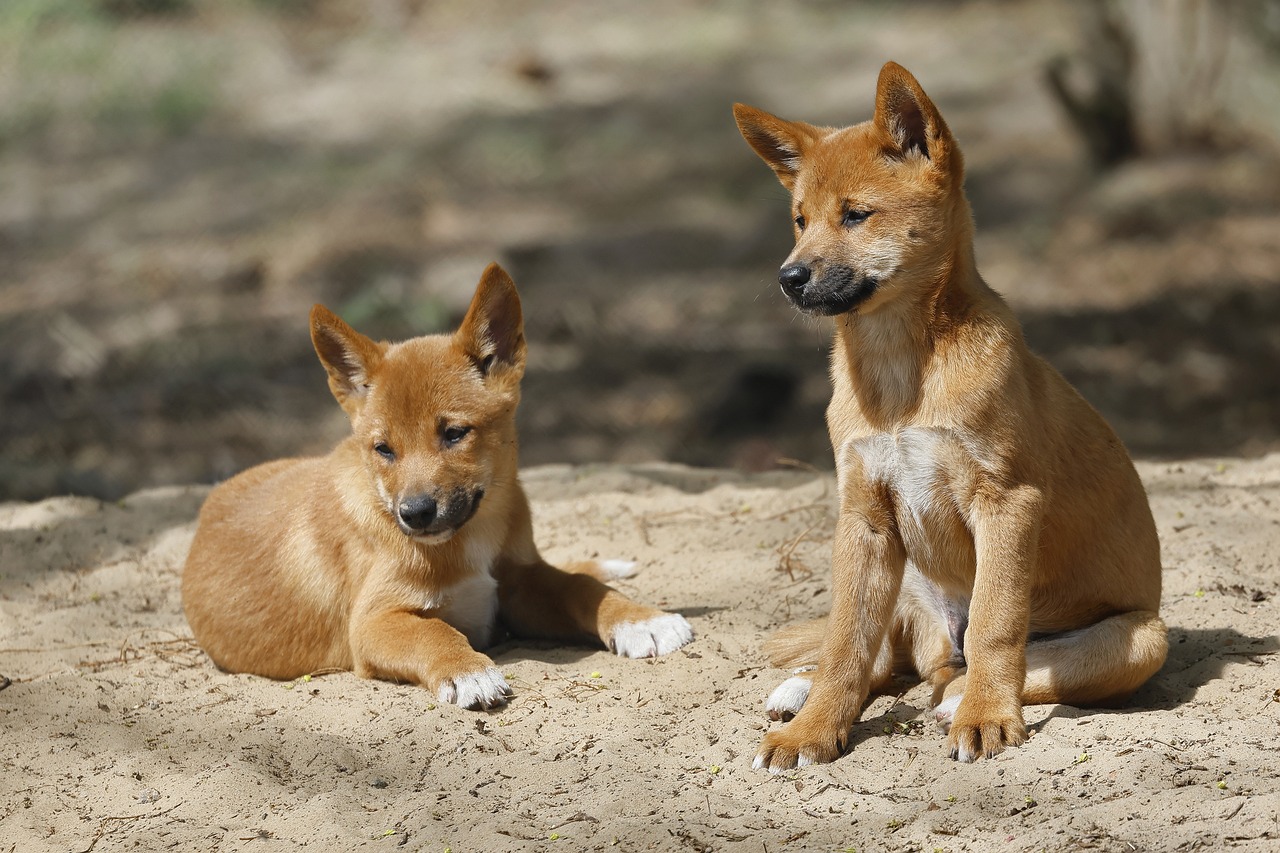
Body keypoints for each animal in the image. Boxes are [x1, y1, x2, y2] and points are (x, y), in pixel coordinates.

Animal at [183, 261, 691, 701]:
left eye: (454, 434)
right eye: (384, 449)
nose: (415, 514)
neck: (470, 539)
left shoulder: (519, 583)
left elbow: (578, 587)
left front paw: (641, 619)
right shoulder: (373, 622)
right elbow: (432, 631)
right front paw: (467, 671)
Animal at [737, 59, 1167, 763]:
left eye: (856, 216)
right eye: (800, 220)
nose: (788, 278)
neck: (900, 378)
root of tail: (941, 644)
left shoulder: (1009, 502)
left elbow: (996, 626)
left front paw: (989, 716)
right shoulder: (864, 515)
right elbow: (845, 645)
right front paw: (814, 730)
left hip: (1141, 638)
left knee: (991, 665)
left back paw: (961, 698)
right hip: (903, 580)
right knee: (887, 660)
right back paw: (801, 691)